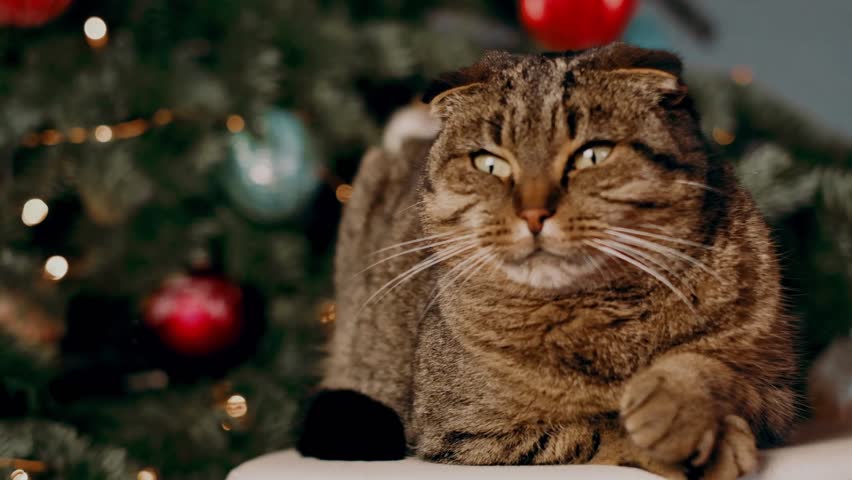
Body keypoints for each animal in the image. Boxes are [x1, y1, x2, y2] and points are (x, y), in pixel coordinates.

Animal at [296, 44, 796, 480]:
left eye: (592, 154)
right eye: (490, 164)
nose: (534, 213)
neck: (603, 315)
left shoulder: (777, 391)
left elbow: (715, 369)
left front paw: (678, 403)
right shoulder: (466, 431)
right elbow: (594, 429)